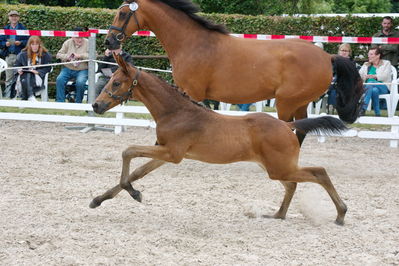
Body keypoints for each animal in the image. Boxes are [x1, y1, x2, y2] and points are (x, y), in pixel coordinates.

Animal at [90, 54, 350, 224]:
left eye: (116, 82)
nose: (96, 105)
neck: (176, 112)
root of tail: (288, 125)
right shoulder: (164, 153)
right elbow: (137, 172)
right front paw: (99, 200)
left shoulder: (172, 153)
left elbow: (128, 151)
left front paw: (134, 193)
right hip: (275, 167)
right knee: (293, 184)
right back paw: (278, 214)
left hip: (280, 167)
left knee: (319, 173)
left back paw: (340, 213)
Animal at [104, 0, 366, 144]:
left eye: (123, 13)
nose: (109, 41)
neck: (193, 43)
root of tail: (328, 56)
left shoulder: (191, 91)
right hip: (299, 103)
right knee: (302, 129)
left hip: (286, 103)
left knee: (291, 128)